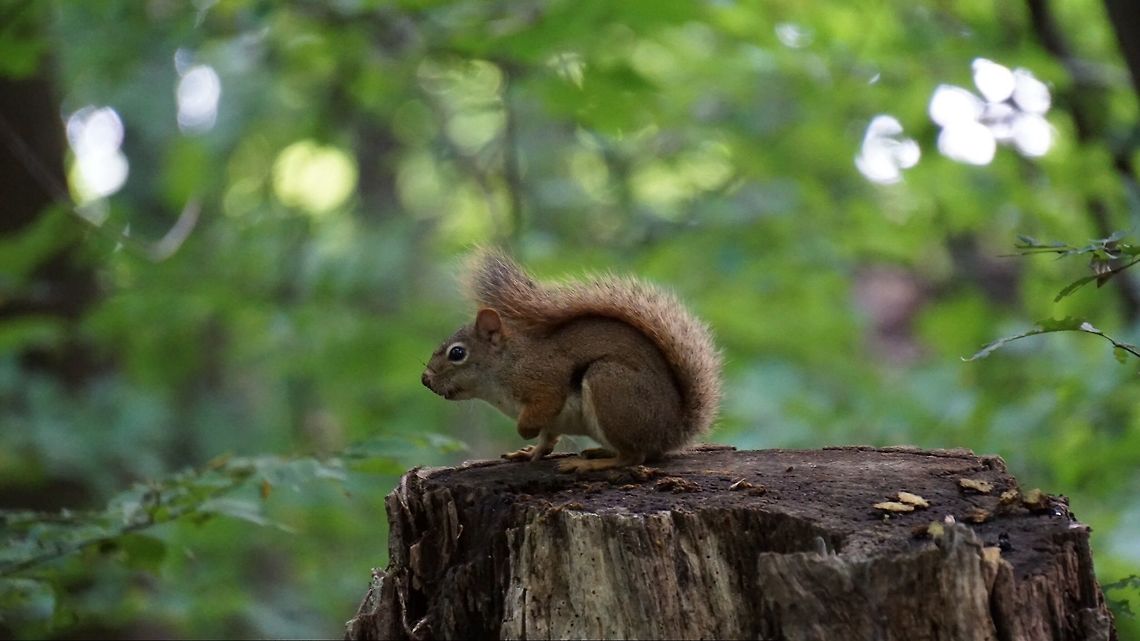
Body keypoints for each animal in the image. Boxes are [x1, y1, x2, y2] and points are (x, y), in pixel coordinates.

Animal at [421, 248, 722, 472]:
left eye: (457, 353)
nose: (425, 379)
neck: (504, 367)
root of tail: (672, 431)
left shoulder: (544, 380)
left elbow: (542, 409)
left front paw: (525, 433)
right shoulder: (550, 422)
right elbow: (547, 439)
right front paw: (529, 452)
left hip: (609, 386)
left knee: (633, 456)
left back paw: (592, 463)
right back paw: (597, 452)